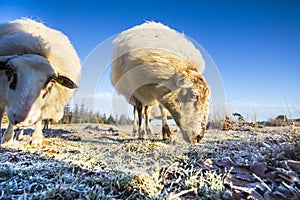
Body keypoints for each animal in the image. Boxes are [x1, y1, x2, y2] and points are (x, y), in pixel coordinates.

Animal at [0, 18, 81, 146]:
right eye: (9, 70)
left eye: (52, 79)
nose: (22, 118)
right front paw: (7, 138)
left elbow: (39, 118)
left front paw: (37, 138)